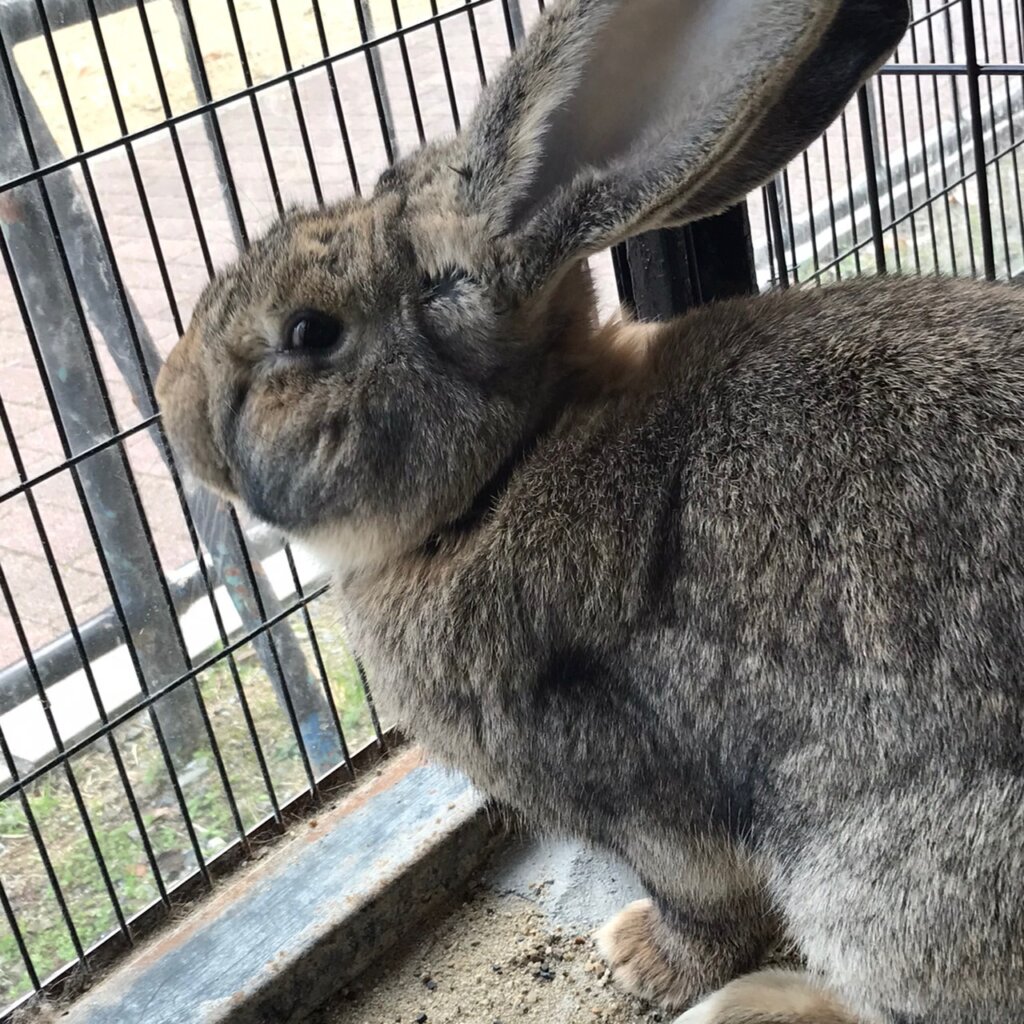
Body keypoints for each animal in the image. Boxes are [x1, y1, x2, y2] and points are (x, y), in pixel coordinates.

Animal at [151, 0, 1024, 1019]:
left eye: (309, 332)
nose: (169, 400)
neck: (503, 472)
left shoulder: (634, 791)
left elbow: (699, 899)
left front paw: (640, 958)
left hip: (881, 883)